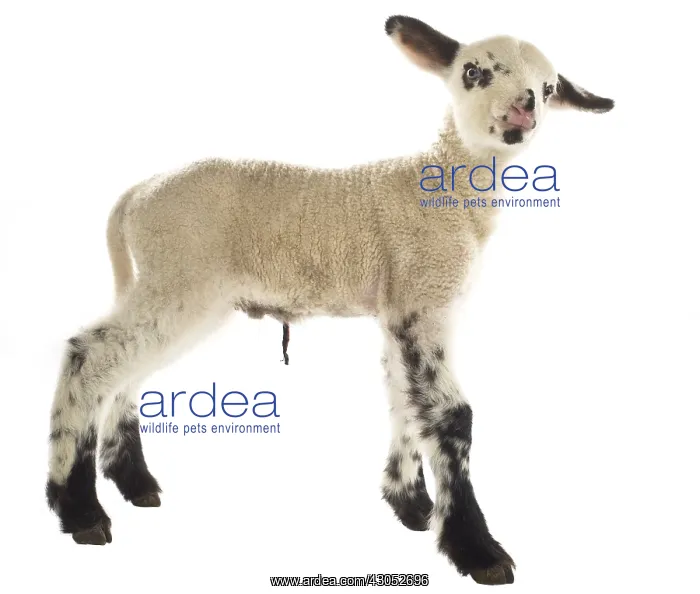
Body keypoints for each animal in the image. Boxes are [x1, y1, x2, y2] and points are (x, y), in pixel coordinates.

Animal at [45, 14, 613, 585]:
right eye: (473, 71)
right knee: (89, 356)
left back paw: (134, 484)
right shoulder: (421, 298)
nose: (524, 108)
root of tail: (135, 196)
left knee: (124, 371)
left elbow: (404, 401)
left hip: (174, 287)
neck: (444, 187)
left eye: (549, 88)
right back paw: (80, 510)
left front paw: (410, 505)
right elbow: (451, 416)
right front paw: (477, 550)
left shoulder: (401, 308)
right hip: (180, 277)